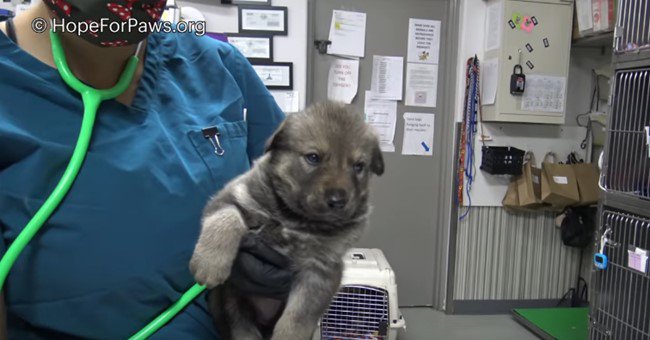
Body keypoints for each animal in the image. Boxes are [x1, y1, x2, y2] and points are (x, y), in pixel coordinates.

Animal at [187, 101, 382, 340]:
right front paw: (209, 264)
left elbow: (298, 318)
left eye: (359, 166)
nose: (338, 201)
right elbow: (225, 219)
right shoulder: (232, 196)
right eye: (313, 157)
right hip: (227, 304)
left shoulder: (320, 270)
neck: (292, 218)